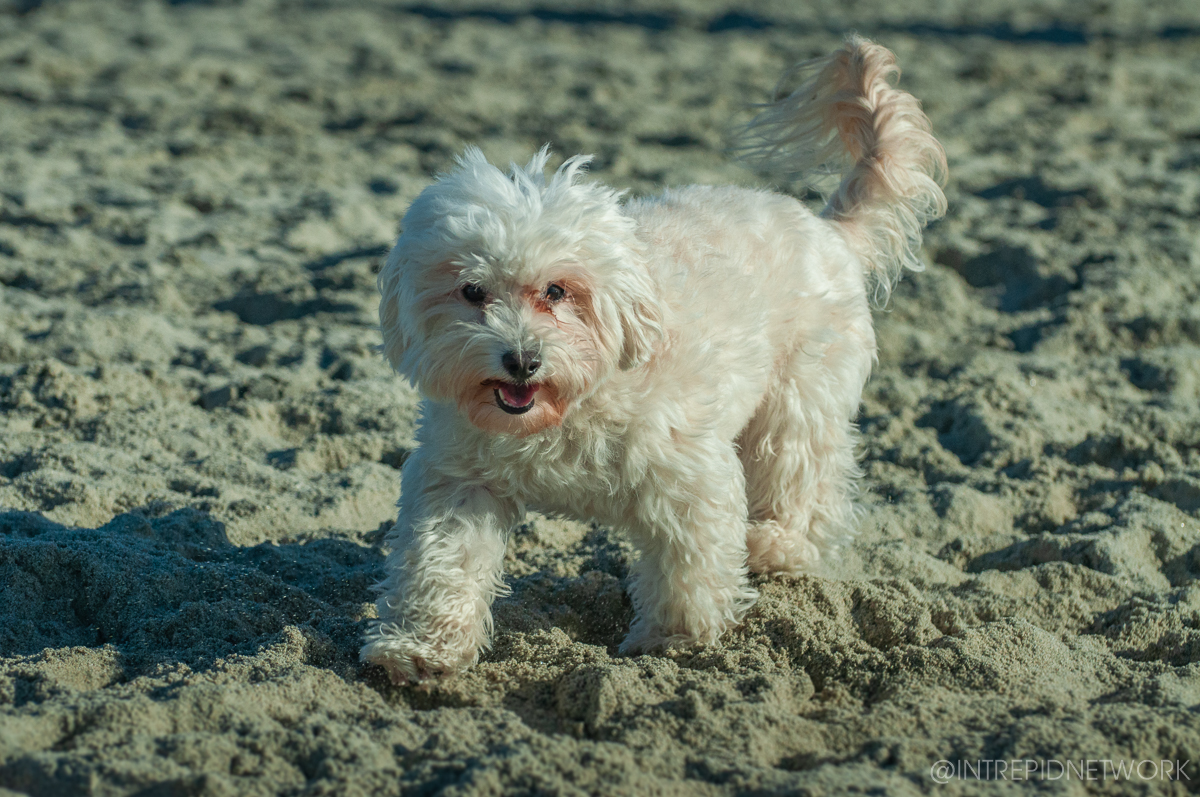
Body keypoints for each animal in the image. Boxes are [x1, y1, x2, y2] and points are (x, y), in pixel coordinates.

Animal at [360, 37, 940, 681]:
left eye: (557, 291)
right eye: (471, 291)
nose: (521, 360)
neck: (565, 410)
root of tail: (829, 229)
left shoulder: (688, 473)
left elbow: (689, 563)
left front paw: (671, 641)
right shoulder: (458, 480)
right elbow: (442, 560)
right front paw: (419, 649)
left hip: (798, 399)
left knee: (801, 476)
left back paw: (775, 545)